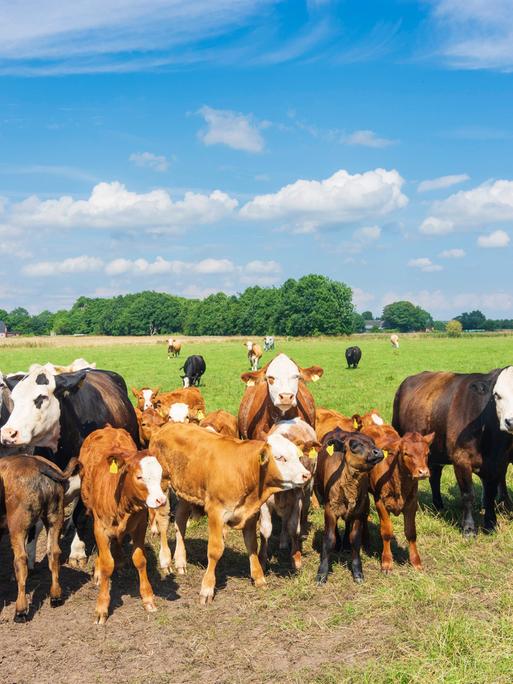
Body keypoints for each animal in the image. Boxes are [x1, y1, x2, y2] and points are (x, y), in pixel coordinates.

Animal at [0, 368, 139, 568]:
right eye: (14, 399)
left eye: (41, 397)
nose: (8, 434)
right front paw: (31, 555)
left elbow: (79, 515)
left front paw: (77, 551)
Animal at [0, 454, 77, 620]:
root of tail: (38, 465)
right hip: (55, 516)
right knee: (54, 552)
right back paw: (56, 596)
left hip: (17, 526)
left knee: (21, 560)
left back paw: (21, 610)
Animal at [148, 424, 308, 608]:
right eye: (280, 458)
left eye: (298, 456)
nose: (306, 474)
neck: (244, 470)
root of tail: (165, 427)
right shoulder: (216, 512)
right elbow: (215, 550)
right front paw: (207, 589)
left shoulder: (250, 514)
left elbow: (252, 545)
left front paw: (259, 577)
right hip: (162, 485)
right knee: (163, 522)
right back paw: (166, 561)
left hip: (186, 491)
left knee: (180, 521)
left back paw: (180, 561)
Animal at [314, 428, 382, 584]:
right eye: (355, 445)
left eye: (373, 443)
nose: (378, 452)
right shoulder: (330, 509)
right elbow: (329, 539)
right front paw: (322, 573)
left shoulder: (358, 511)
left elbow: (355, 539)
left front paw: (357, 572)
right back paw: (339, 543)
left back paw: (345, 544)